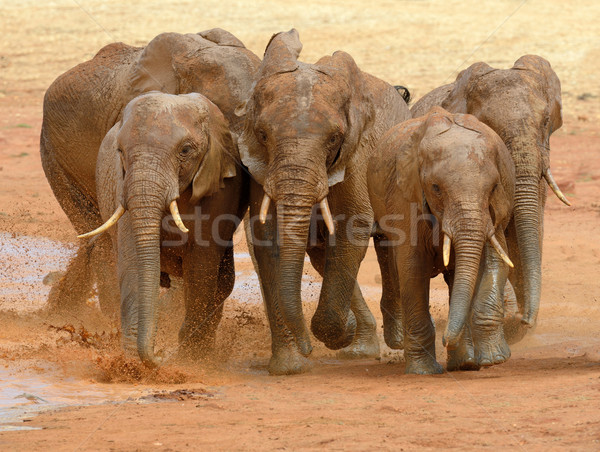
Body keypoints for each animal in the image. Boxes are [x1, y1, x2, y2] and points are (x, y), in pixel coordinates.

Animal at [81, 91, 247, 368]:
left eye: (185, 150)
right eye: (120, 151)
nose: (160, 355)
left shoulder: (220, 187)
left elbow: (201, 267)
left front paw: (191, 359)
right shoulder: (124, 187)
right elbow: (134, 262)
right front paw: (131, 366)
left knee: (223, 282)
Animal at [234, 29, 412, 374]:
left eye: (333, 139)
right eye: (263, 135)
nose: (307, 350)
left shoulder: (357, 153)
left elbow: (354, 226)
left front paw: (337, 333)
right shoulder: (261, 167)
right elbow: (266, 237)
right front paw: (291, 365)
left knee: (389, 242)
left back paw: (396, 340)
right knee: (322, 255)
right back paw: (360, 347)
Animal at [366, 107, 516, 374]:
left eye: (493, 187)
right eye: (435, 188)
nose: (445, 339)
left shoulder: (496, 208)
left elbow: (496, 259)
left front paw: (493, 359)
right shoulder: (405, 197)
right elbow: (412, 267)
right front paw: (423, 371)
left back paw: (465, 363)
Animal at [410, 55, 568, 342]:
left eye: (545, 122)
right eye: (489, 127)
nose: (526, 321)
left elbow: (526, 231)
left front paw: (518, 325)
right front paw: (513, 320)